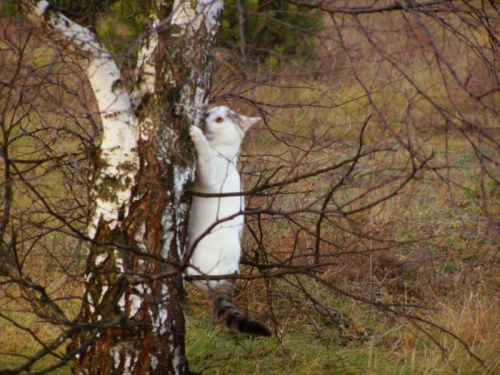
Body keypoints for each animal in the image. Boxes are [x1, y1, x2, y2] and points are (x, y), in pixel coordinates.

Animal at [186, 106, 270, 338]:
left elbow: (204, 154)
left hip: (203, 254)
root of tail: (231, 273)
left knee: (195, 275)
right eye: (208, 113)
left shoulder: (210, 171)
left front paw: (196, 133)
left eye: (219, 120)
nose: (204, 120)